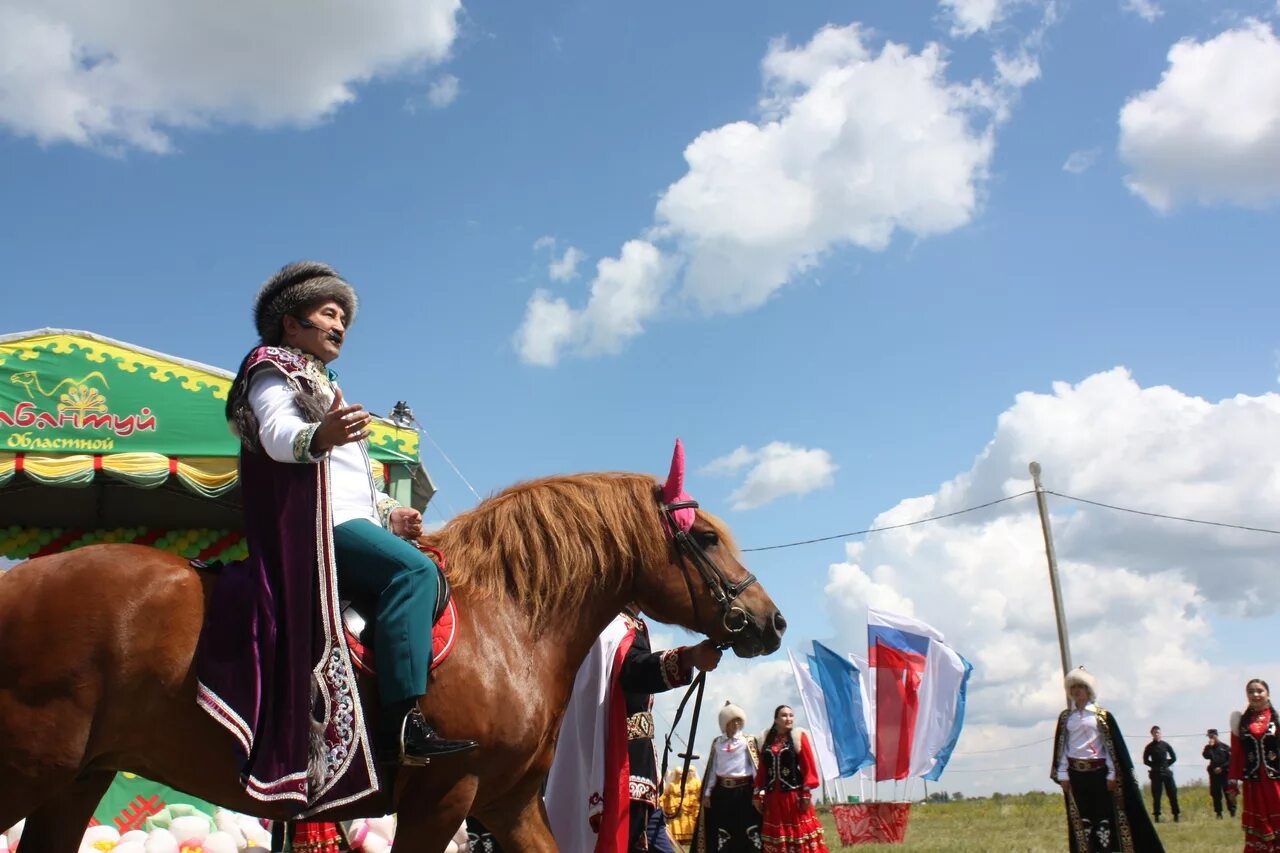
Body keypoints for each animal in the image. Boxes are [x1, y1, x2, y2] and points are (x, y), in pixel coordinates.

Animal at [0, 468, 778, 845]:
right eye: (705, 536)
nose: (770, 620)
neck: (508, 620)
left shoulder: (508, 804)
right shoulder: (443, 799)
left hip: (76, 778)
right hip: (32, 768)